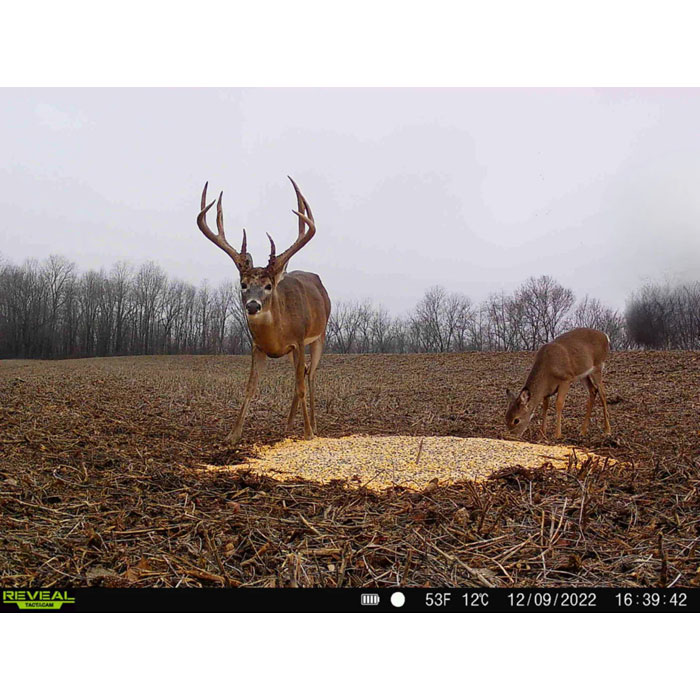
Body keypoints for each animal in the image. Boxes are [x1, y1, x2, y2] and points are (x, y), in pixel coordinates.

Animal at [196, 177, 331, 445]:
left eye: (268, 286)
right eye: (243, 284)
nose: (252, 305)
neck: (276, 335)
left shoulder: (298, 340)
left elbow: (301, 385)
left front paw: (308, 433)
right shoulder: (258, 346)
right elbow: (250, 387)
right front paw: (232, 434)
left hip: (319, 335)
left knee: (310, 376)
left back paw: (314, 425)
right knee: (301, 375)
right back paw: (288, 426)